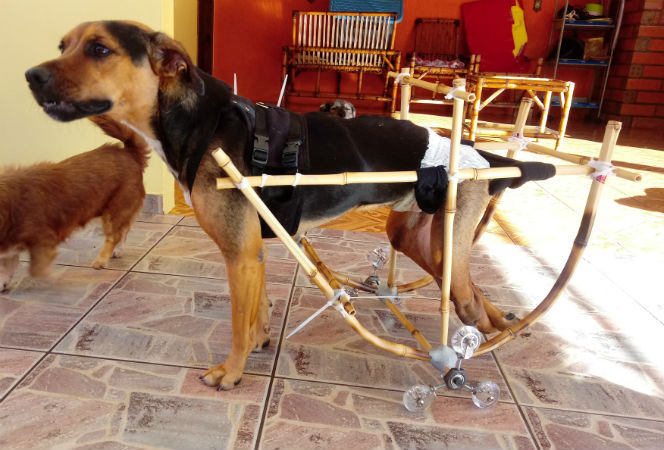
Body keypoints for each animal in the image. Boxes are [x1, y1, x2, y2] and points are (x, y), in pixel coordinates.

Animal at [0, 142, 147, 292]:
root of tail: (129, 152)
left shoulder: (42, 241)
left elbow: (36, 270)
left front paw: (53, 277)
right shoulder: (10, 248)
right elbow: (7, 267)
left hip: (112, 212)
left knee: (115, 235)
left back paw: (101, 260)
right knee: (123, 230)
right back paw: (118, 250)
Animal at [25, 21, 519, 390]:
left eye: (99, 49)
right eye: (63, 45)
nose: (31, 76)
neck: (201, 124)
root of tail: (477, 152)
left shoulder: (239, 255)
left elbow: (237, 324)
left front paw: (231, 373)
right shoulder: (254, 253)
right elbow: (257, 314)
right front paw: (259, 344)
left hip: (445, 249)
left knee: (469, 304)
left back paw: (467, 357)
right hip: (418, 242)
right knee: (478, 298)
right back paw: (504, 329)